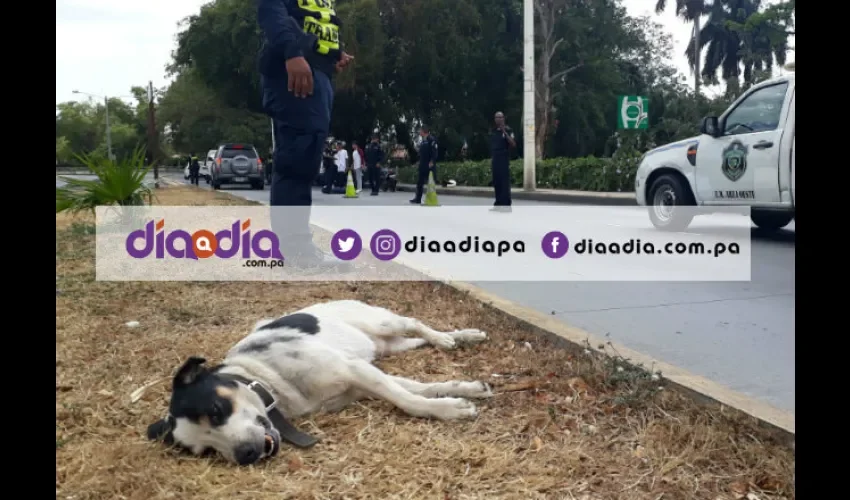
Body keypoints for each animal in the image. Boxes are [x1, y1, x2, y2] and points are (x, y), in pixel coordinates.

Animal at [146, 296, 490, 464]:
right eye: (205, 451)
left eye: (216, 410)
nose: (246, 456)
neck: (264, 376)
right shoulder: (362, 382)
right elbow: (419, 389)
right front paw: (463, 394)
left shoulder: (355, 370)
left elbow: (408, 400)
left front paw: (449, 410)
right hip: (389, 345)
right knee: (416, 339)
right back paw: (462, 336)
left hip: (382, 322)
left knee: (415, 322)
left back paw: (448, 339)